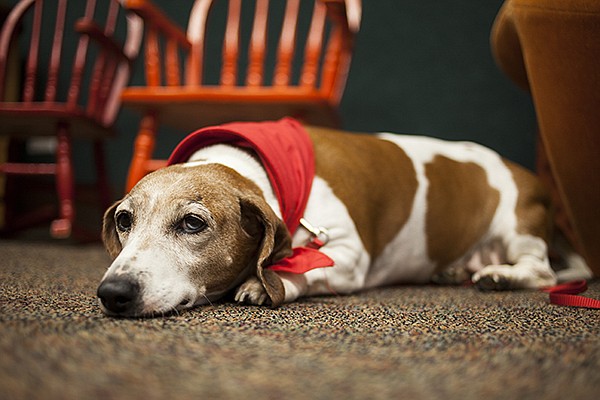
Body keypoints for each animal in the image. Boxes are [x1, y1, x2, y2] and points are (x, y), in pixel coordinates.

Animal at [98, 117, 592, 318]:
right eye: (124, 220)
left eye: (192, 223)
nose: (112, 292)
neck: (259, 170)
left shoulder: (349, 255)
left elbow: (295, 268)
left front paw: (263, 282)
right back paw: (452, 271)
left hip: (518, 229)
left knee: (542, 271)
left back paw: (501, 276)